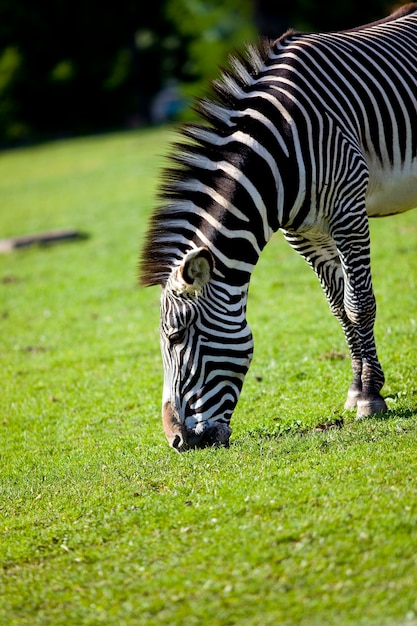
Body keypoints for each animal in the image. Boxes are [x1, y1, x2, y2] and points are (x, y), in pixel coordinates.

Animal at [139, 6, 416, 454]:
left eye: (177, 338)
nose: (176, 441)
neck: (277, 153)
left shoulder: (348, 210)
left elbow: (359, 304)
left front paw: (371, 396)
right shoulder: (304, 234)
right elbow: (338, 308)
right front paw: (356, 390)